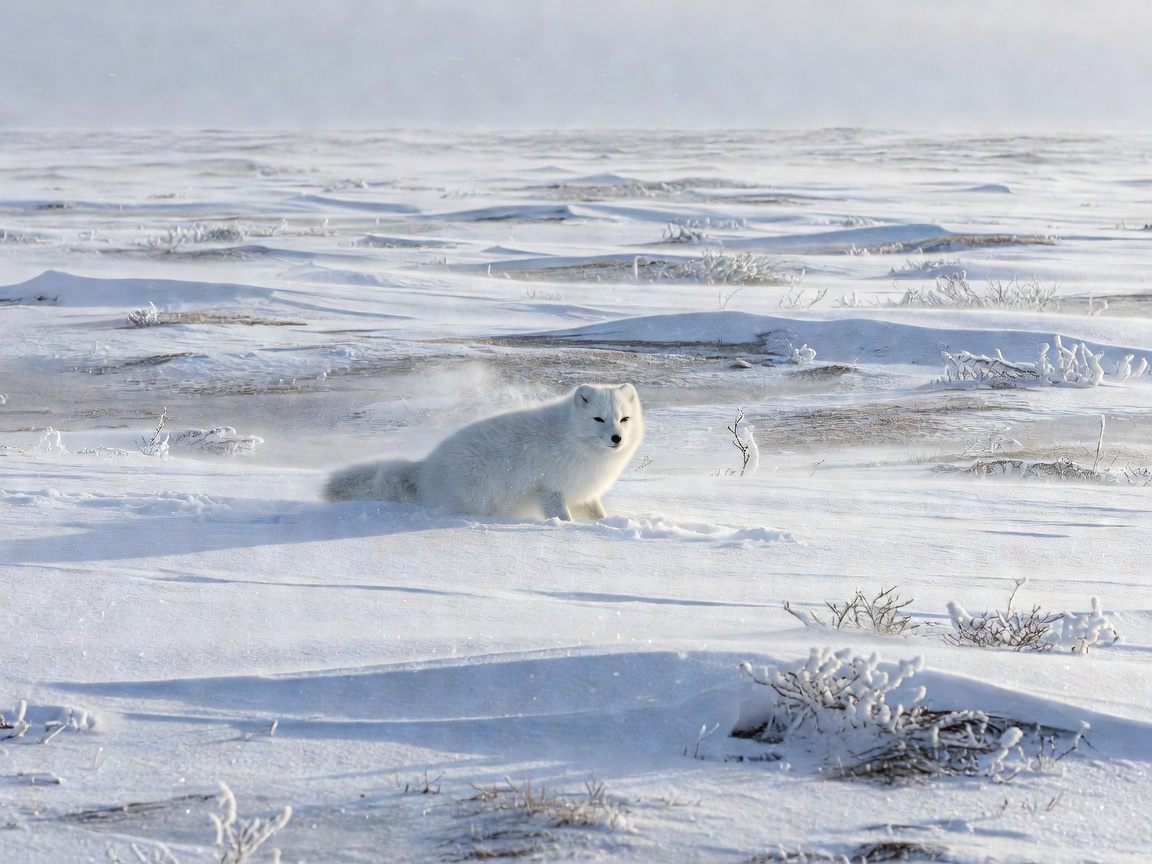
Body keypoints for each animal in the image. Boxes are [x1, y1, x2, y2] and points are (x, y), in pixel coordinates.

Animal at [324, 383, 643, 520]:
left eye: (624, 419)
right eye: (598, 419)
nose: (616, 438)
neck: (571, 440)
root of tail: (425, 467)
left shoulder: (584, 493)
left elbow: (597, 514)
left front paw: (607, 524)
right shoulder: (550, 490)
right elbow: (563, 518)